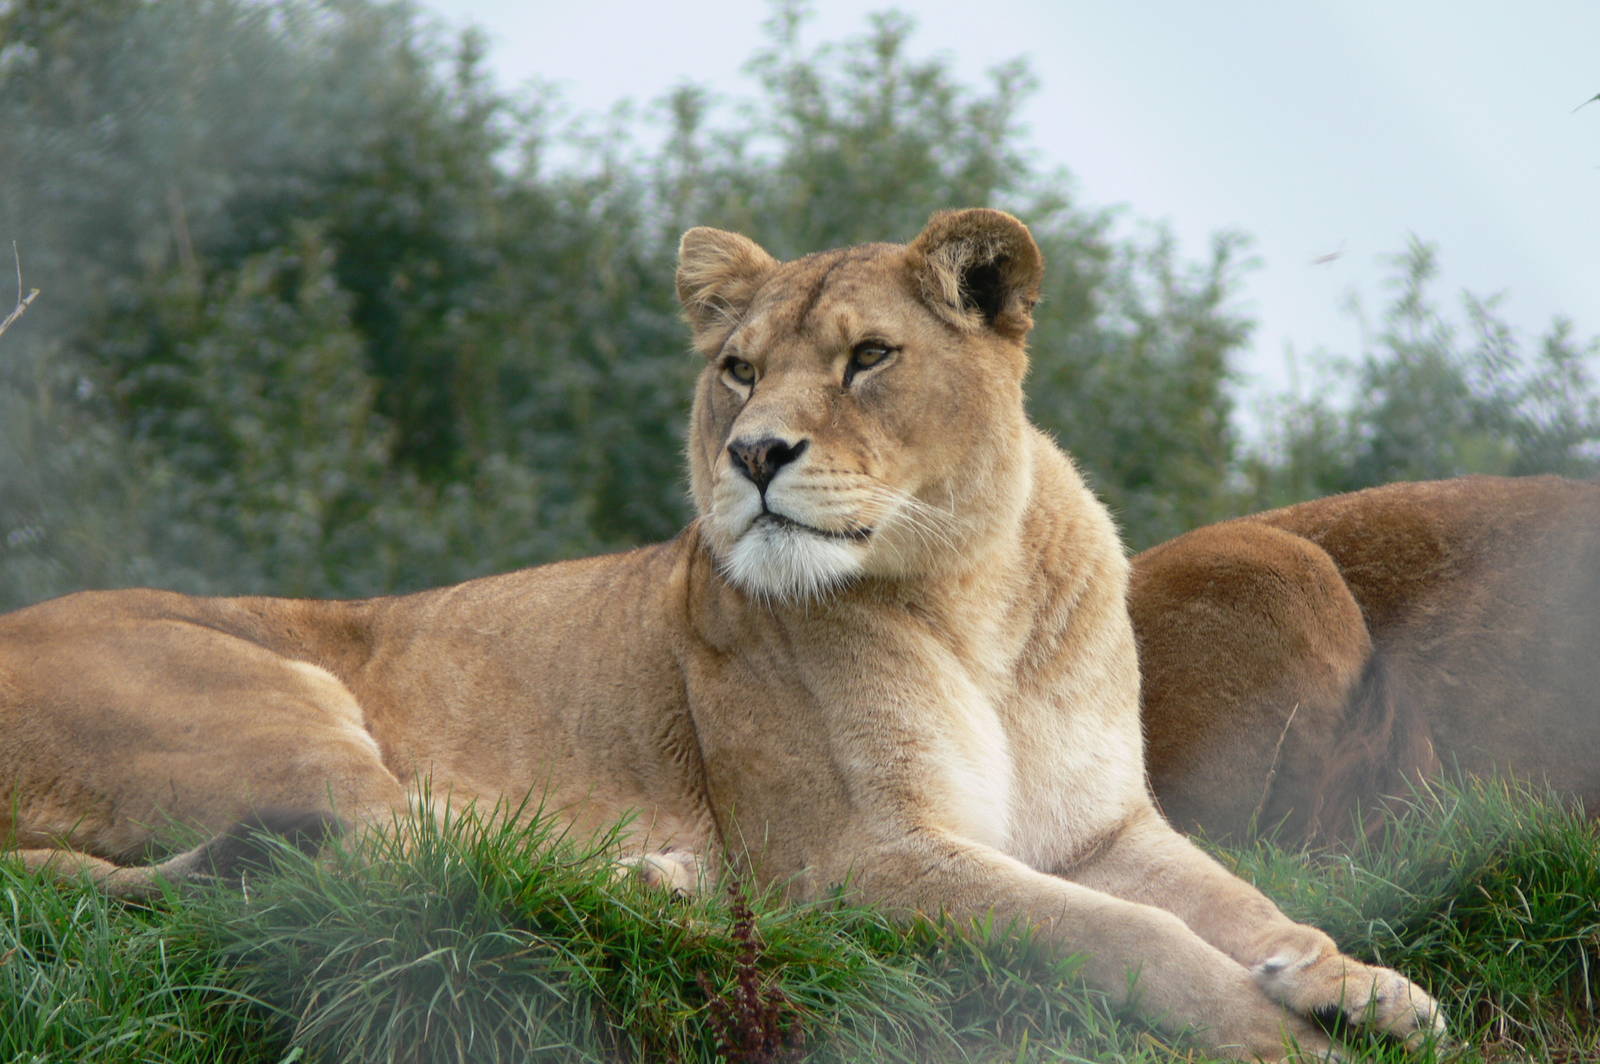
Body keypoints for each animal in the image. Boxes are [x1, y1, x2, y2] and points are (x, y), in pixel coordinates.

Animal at [0, 209, 1442, 1059]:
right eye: (739, 369)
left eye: (868, 358)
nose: (754, 453)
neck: (972, 595)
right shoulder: (861, 858)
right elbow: (1127, 936)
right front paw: (1286, 1033)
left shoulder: (1102, 828)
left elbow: (1238, 898)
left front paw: (1359, 984)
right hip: (267, 695)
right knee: (378, 852)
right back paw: (651, 881)